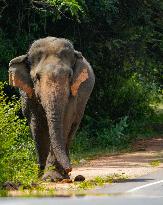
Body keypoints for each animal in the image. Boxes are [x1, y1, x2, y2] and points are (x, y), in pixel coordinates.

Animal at [8, 36, 95, 181]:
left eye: (69, 76)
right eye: (37, 77)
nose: (70, 168)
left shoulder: (73, 94)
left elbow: (65, 120)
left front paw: (52, 177)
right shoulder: (29, 94)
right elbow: (37, 124)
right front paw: (42, 176)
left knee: (72, 129)